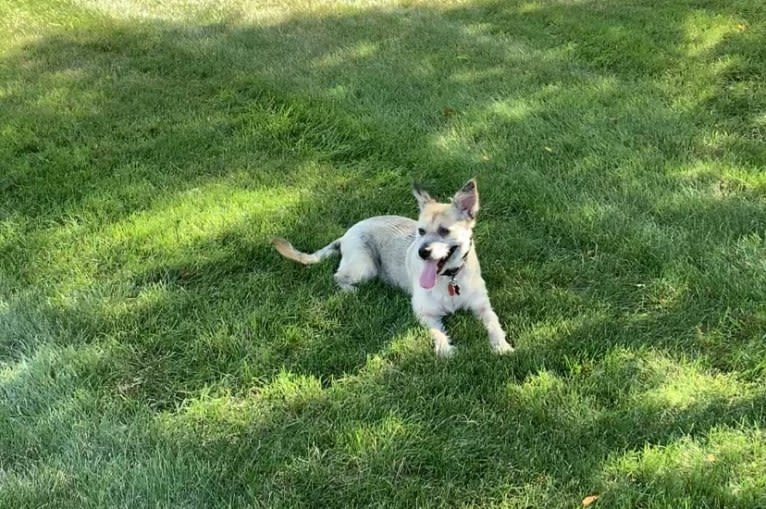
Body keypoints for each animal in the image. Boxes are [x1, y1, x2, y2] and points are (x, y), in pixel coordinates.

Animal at [272, 179, 516, 358]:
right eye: (421, 231)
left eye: (444, 231)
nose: (422, 252)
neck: (450, 278)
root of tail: (346, 234)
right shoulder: (425, 313)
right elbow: (437, 332)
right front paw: (445, 349)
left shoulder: (483, 306)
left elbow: (494, 324)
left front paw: (502, 346)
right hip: (365, 266)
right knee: (338, 276)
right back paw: (351, 291)